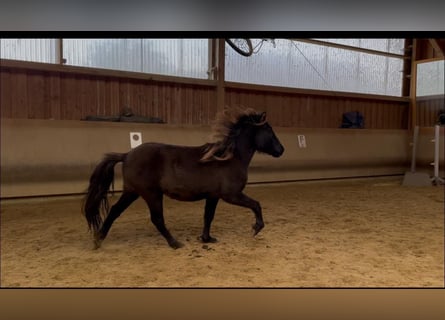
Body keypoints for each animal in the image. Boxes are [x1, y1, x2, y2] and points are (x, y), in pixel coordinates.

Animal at [83, 106, 284, 249]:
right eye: (269, 130)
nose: (281, 150)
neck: (229, 157)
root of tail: (126, 155)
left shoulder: (213, 196)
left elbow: (208, 216)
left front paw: (207, 238)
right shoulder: (231, 195)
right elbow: (256, 205)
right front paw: (256, 228)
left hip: (132, 192)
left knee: (115, 211)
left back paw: (98, 240)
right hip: (151, 194)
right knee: (157, 219)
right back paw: (174, 243)